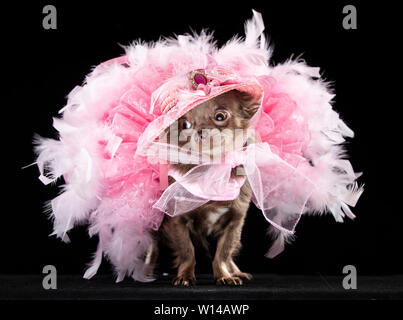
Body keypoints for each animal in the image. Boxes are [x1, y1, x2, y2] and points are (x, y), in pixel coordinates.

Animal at [147, 89, 260, 284]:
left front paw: (224, 276)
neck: (211, 171)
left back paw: (236, 272)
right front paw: (185, 276)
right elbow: (187, 251)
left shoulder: (235, 222)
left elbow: (223, 253)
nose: (199, 131)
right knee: (152, 246)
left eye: (220, 116)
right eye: (184, 124)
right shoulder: (177, 220)